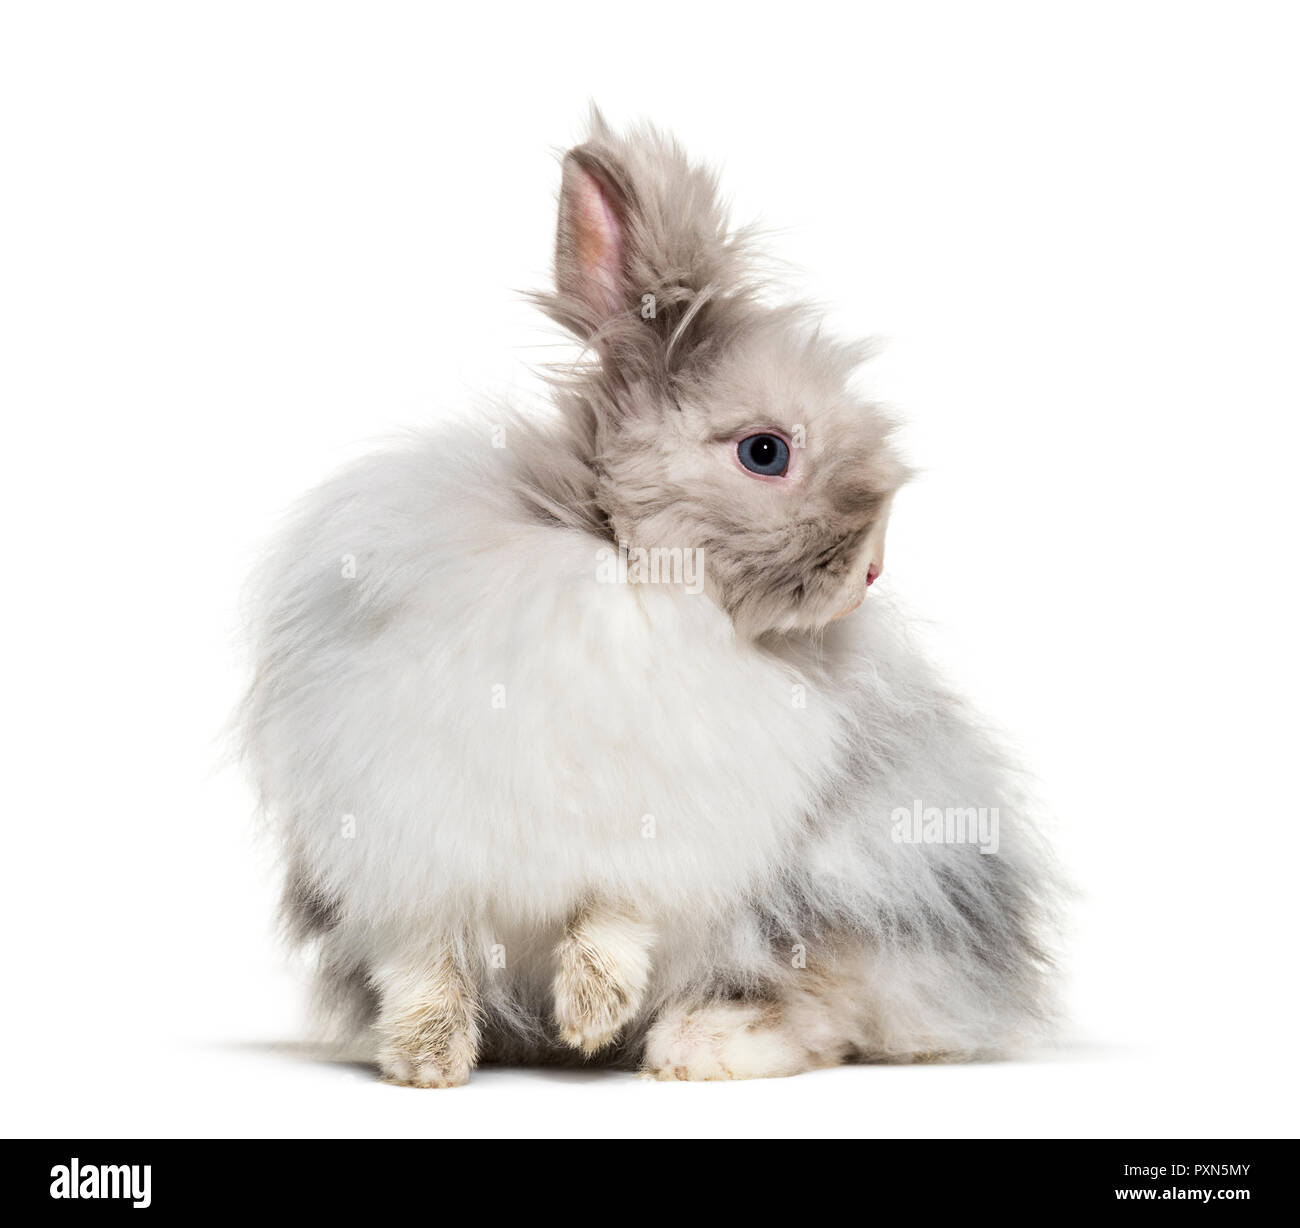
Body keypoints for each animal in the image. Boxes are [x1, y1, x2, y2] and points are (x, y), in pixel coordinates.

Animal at [240, 110, 1058, 1087]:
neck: (630, 571)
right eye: (765, 452)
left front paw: (591, 1013)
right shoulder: (404, 843)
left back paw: (698, 1044)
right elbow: (425, 959)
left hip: (858, 889)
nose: (871, 571)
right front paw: (426, 1060)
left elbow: (613, 915)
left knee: (828, 1009)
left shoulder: (662, 838)